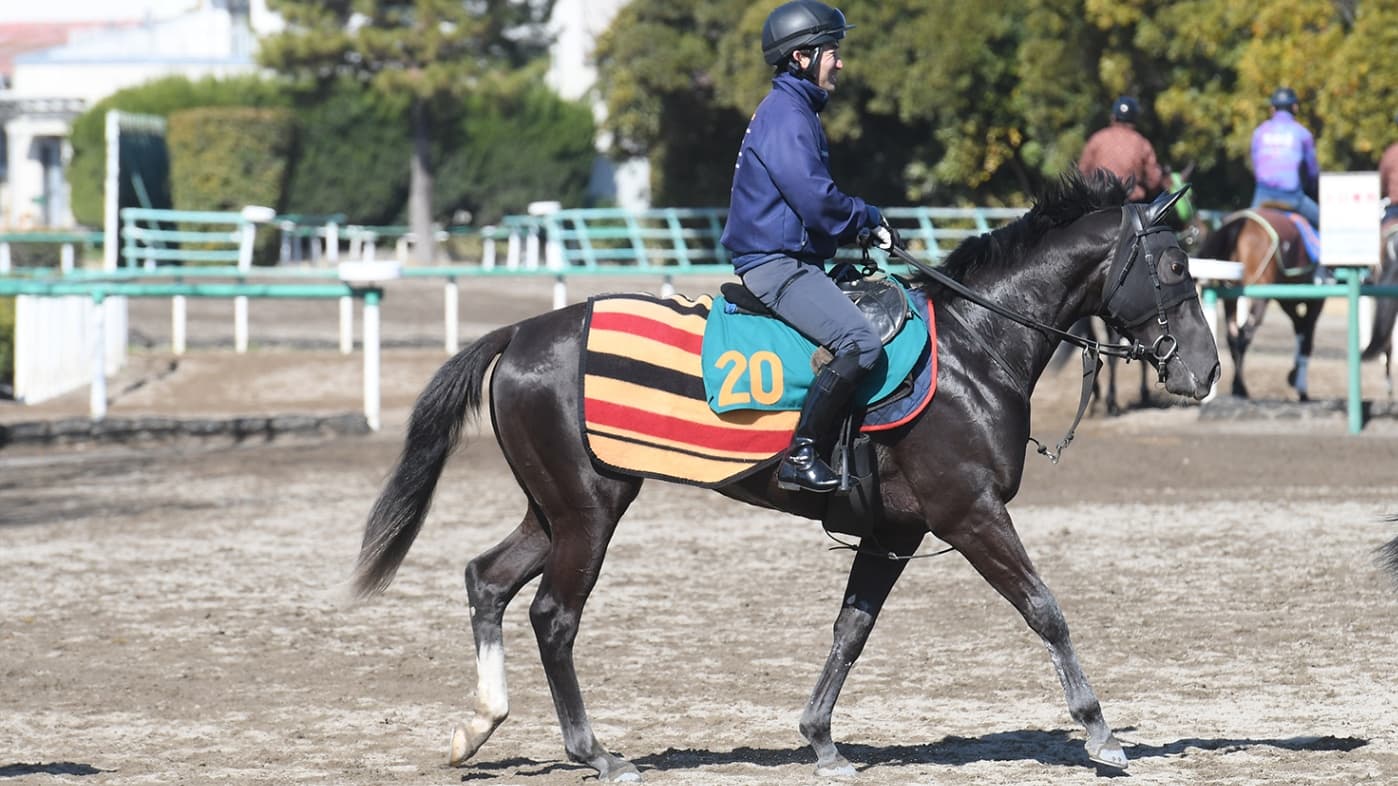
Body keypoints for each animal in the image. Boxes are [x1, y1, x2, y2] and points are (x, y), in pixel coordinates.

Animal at [350, 172, 1221, 782]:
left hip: (555, 508)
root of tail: (524, 331)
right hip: (591, 512)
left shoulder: (897, 531)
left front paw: (821, 741)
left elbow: (851, 631)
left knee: (488, 581)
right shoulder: (969, 514)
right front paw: (1100, 732)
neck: (976, 346)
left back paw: (479, 725)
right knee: (554, 618)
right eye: (1174, 264)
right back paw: (596, 753)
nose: (1205, 370)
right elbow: (1046, 611)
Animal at [1196, 207, 1324, 399]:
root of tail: (1239, 223)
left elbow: (1300, 328)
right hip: (1259, 296)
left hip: (1232, 296)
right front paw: (1301, 389)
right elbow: (1307, 338)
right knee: (1245, 334)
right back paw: (1240, 387)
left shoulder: (1287, 300)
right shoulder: (1316, 301)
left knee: (1233, 335)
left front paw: (1293, 376)